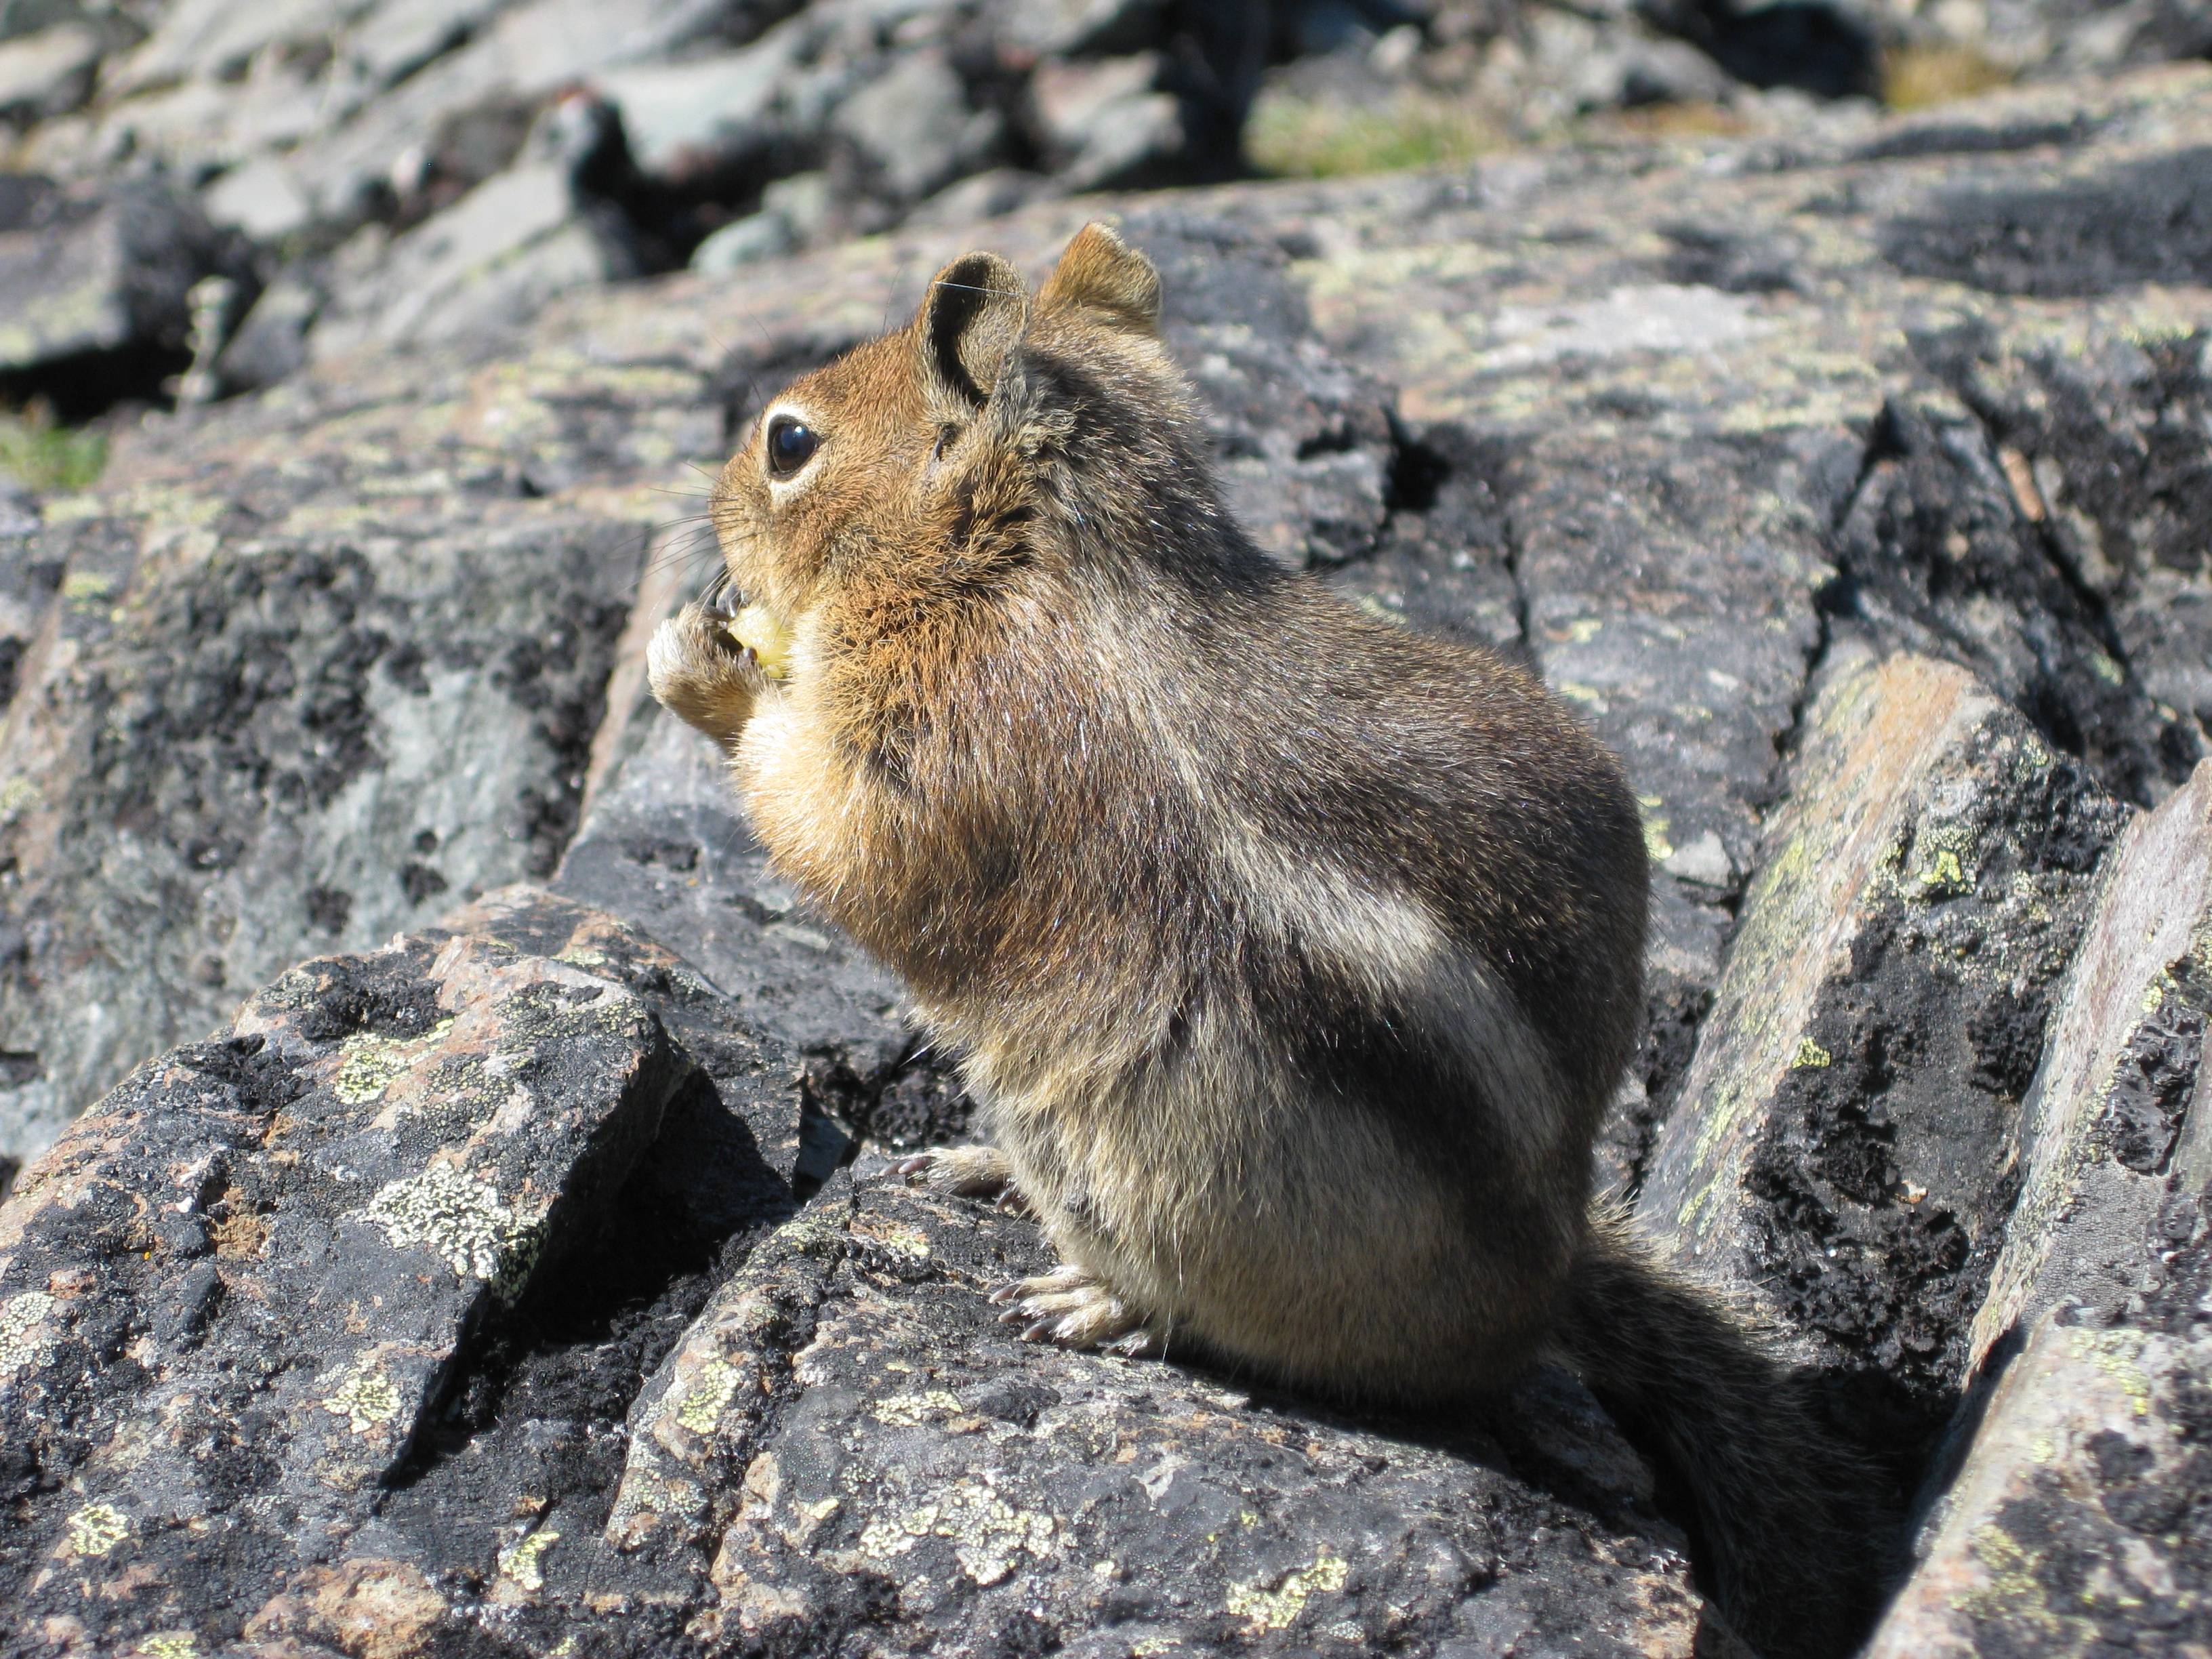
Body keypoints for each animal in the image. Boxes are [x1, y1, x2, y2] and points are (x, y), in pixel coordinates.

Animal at [646, 224, 1893, 1659]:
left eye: (788, 442)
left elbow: (830, 830)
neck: (1039, 551)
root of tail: (1548, 1275)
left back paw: (1093, 1296)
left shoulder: (936, 748)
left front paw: (702, 664)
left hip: (1146, 1163)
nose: (707, 509)